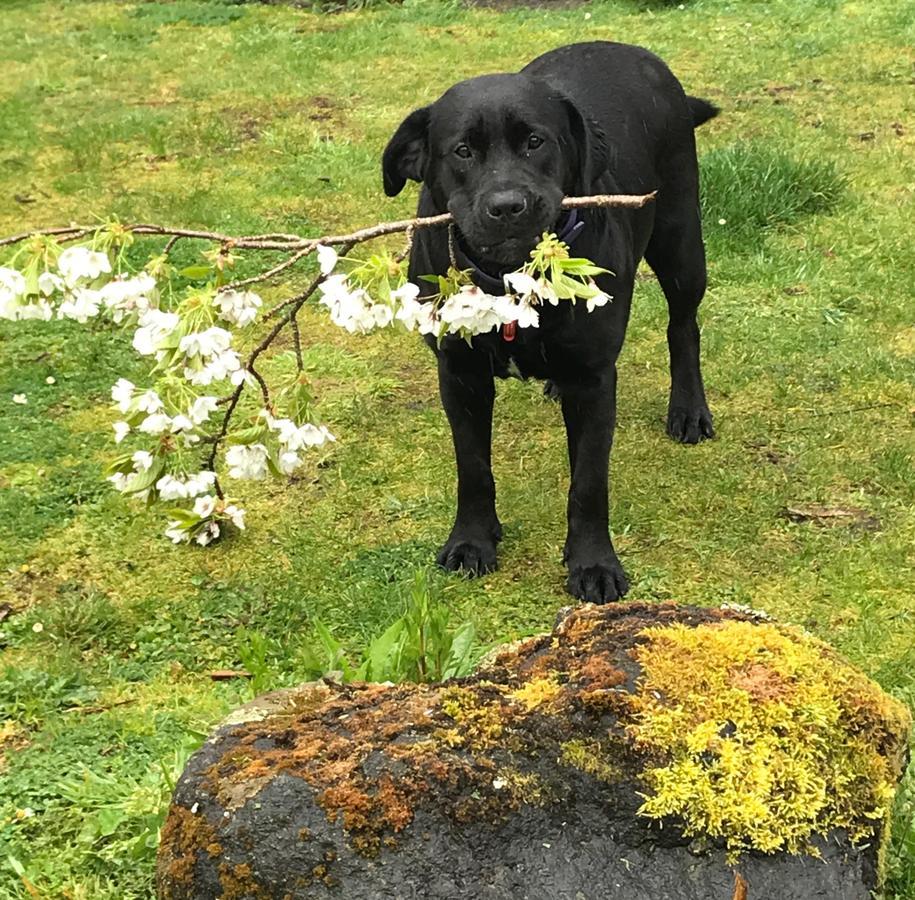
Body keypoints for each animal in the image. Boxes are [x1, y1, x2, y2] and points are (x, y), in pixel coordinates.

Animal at [382, 42, 720, 604]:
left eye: (536, 142)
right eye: (462, 151)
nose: (507, 207)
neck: (511, 279)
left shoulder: (594, 380)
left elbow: (588, 480)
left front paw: (594, 564)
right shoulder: (459, 375)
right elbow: (473, 466)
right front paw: (471, 542)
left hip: (680, 239)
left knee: (683, 326)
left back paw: (689, 411)